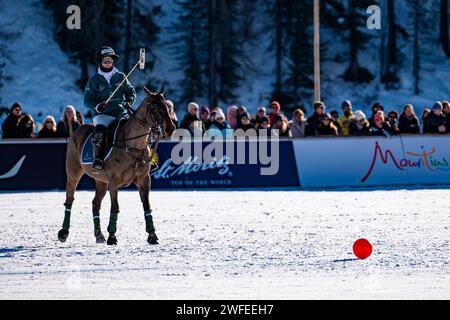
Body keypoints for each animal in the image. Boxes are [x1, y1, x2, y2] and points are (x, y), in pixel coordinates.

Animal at [56, 85, 176, 245]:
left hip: (100, 180)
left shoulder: (144, 179)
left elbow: (147, 206)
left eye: (166, 105)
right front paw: (112, 236)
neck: (132, 145)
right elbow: (115, 207)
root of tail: (78, 129)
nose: (170, 128)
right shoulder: (114, 181)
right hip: (73, 173)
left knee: (95, 203)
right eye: (152, 105)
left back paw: (99, 235)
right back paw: (63, 233)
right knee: (69, 200)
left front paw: (152, 235)